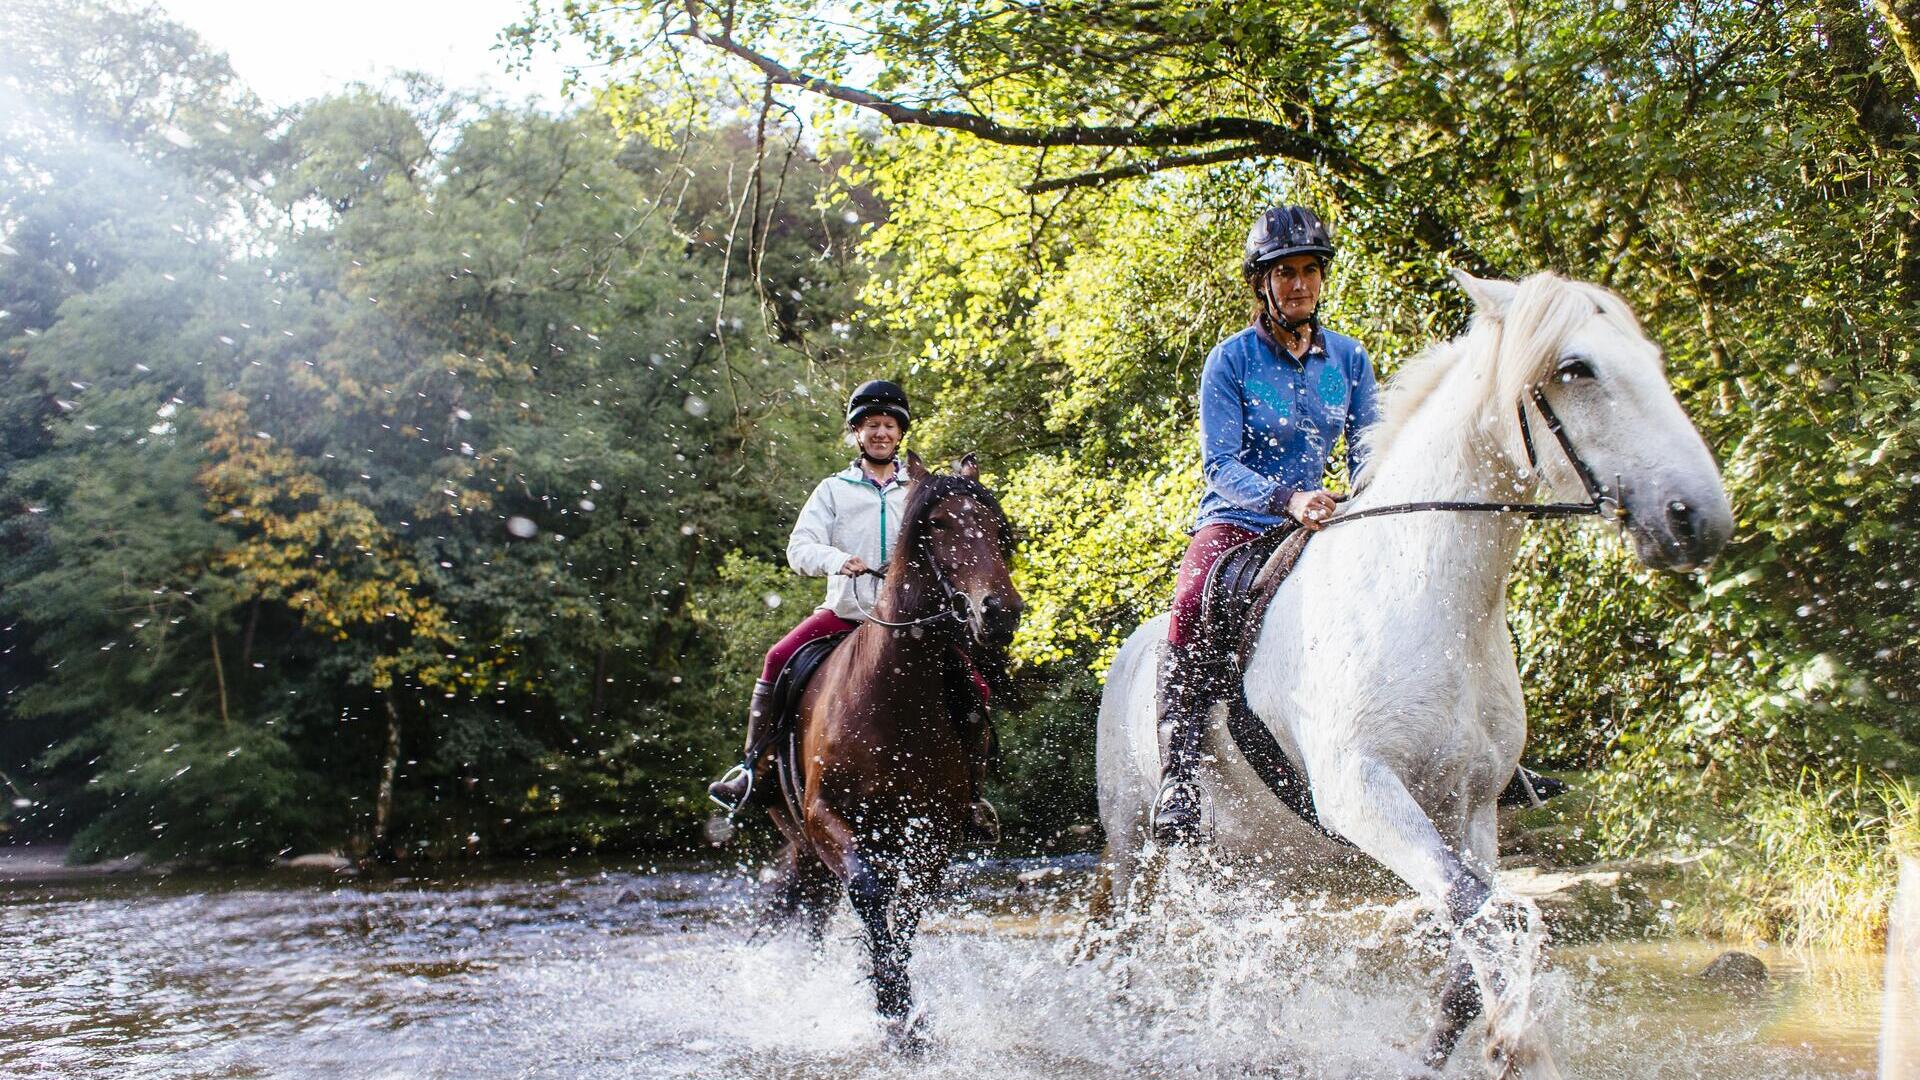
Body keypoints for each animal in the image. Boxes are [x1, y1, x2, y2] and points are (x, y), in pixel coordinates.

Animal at [766, 452, 1021, 1045]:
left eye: (998, 529)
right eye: (938, 525)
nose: (1000, 612)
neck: (889, 699)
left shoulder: (934, 832)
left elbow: (907, 910)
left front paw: (902, 1010)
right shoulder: (824, 818)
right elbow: (868, 892)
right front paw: (892, 1005)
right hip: (803, 839)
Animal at [1091, 270, 1733, 1077]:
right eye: (1576, 368)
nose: (1698, 518)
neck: (1431, 594)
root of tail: (1127, 657)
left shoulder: (1472, 807)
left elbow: (1471, 944)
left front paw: (1462, 1043)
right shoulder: (1361, 790)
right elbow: (1482, 914)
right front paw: (1518, 1043)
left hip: (1256, 857)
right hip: (1135, 844)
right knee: (1127, 947)